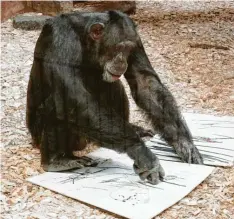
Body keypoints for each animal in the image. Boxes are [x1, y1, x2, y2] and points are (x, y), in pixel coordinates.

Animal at [26, 10, 203, 185]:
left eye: (128, 50)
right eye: (118, 48)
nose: (122, 61)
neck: (86, 38)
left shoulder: (136, 39)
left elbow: (145, 83)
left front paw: (184, 143)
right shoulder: (61, 38)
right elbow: (73, 93)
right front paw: (141, 152)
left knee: (116, 87)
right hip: (50, 137)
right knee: (59, 103)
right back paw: (57, 161)